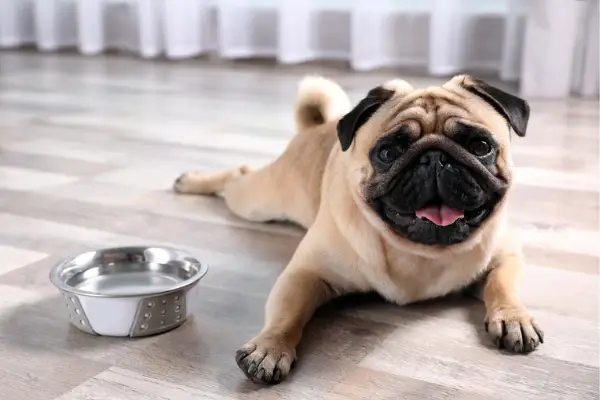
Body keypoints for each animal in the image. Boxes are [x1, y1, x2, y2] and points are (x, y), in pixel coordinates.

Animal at [172, 74, 544, 384]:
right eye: (387, 152)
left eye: (481, 146)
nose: (435, 158)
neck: (418, 253)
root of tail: (314, 128)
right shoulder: (306, 273)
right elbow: (286, 314)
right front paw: (270, 347)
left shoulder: (506, 255)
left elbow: (501, 284)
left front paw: (513, 318)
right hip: (258, 201)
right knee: (238, 175)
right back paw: (190, 181)